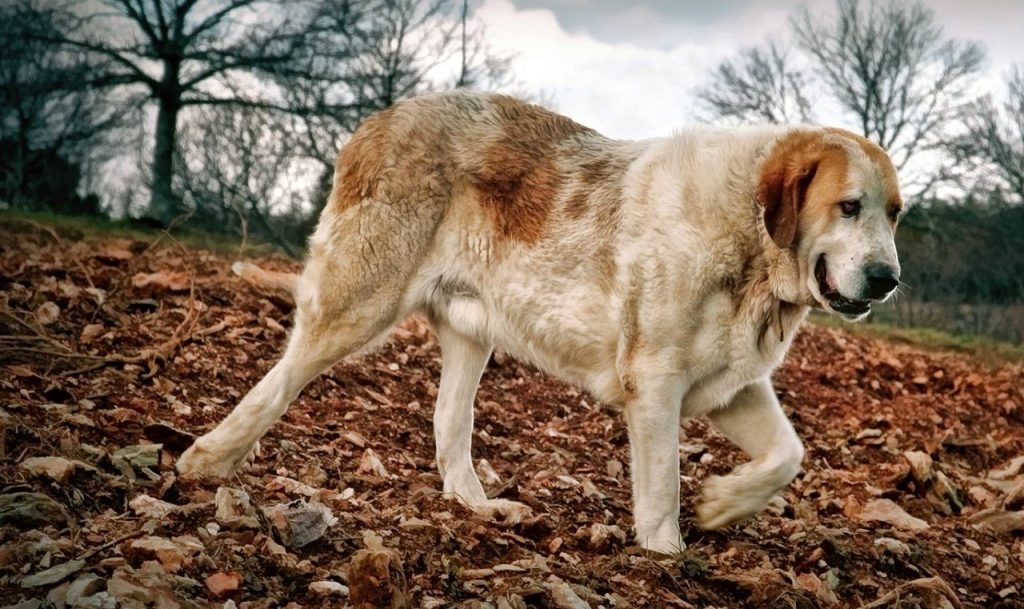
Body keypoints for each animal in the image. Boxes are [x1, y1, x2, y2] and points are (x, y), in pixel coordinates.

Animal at [178, 91, 905, 556]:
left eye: (894, 213)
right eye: (848, 207)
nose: (887, 278)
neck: (751, 242)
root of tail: (380, 119)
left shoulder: (731, 388)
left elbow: (788, 454)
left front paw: (724, 503)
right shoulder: (657, 386)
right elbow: (662, 488)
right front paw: (666, 556)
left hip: (470, 337)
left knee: (449, 429)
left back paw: (478, 508)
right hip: (358, 304)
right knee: (279, 380)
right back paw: (207, 459)